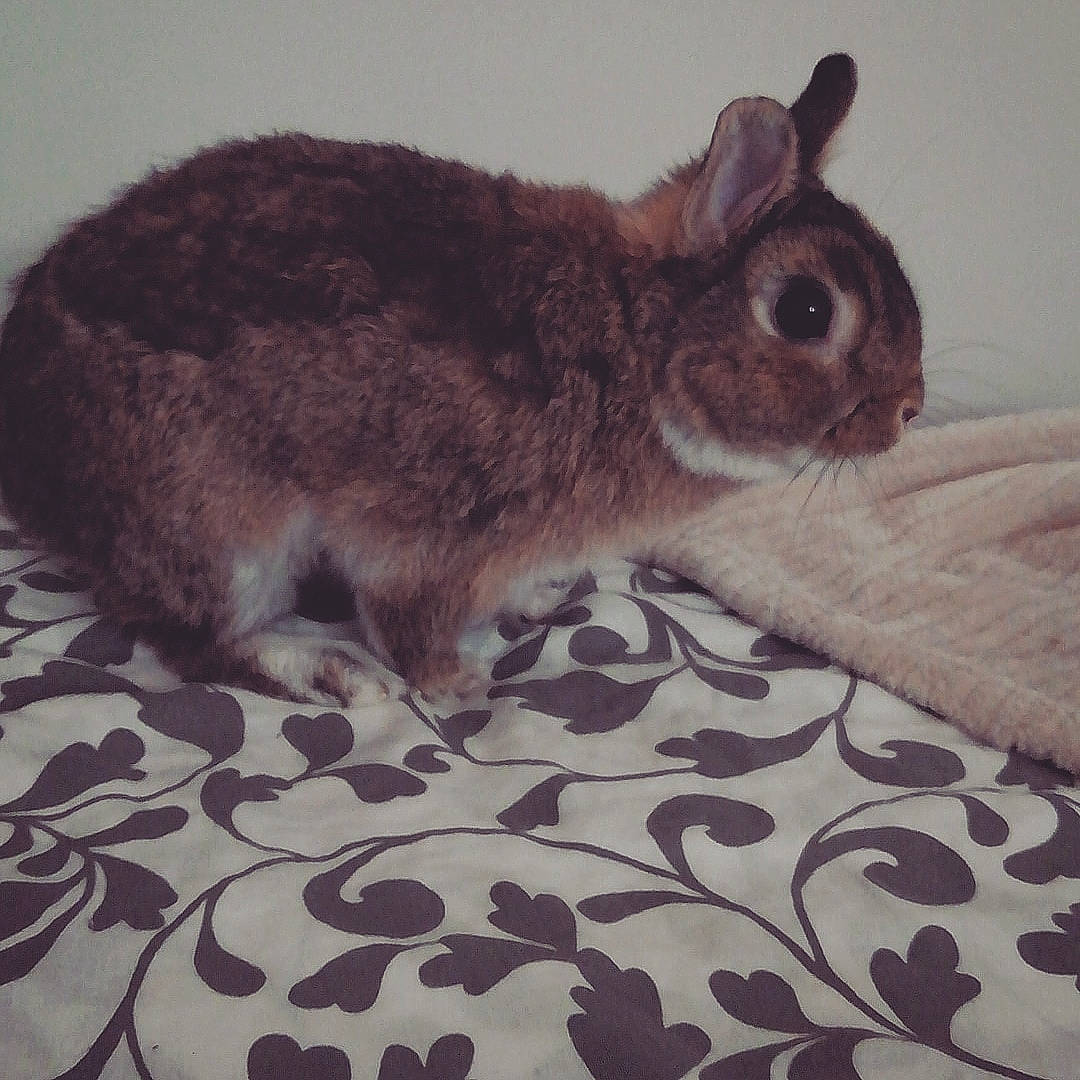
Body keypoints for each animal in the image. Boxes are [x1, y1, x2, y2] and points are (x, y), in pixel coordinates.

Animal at [0, 54, 923, 706]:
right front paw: (456, 684)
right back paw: (331, 671)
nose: (908, 411)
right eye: (806, 311)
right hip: (223, 532)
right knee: (193, 641)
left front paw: (539, 596)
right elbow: (407, 619)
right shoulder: (430, 534)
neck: (633, 344)